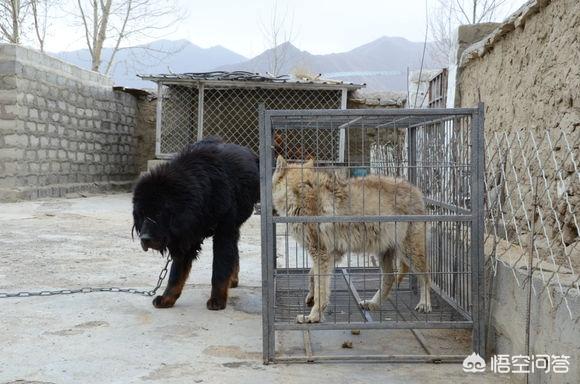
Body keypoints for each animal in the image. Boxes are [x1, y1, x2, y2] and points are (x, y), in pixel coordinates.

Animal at [133, 138, 260, 308]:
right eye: (141, 215)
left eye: (159, 214)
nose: (145, 238)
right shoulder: (185, 236)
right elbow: (176, 272)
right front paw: (167, 298)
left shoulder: (223, 232)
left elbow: (219, 267)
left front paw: (217, 300)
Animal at [274, 154, 430, 322]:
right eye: (303, 184)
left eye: (309, 183)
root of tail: (416, 190)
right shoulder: (330, 254)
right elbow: (312, 276)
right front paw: (311, 298)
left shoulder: (321, 253)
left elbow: (321, 288)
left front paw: (313, 317)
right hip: (385, 253)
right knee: (390, 278)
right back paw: (373, 303)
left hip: (409, 253)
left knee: (426, 277)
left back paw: (425, 304)